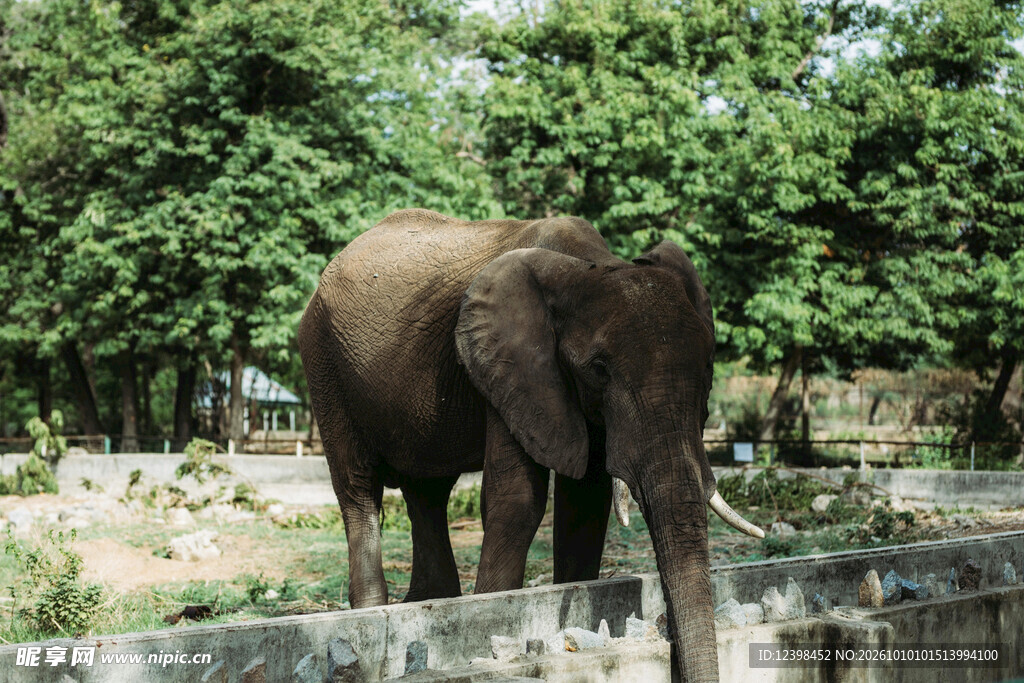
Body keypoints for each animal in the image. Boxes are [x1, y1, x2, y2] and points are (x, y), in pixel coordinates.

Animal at [298, 209, 763, 682]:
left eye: (709, 367)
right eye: (599, 369)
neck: (590, 265)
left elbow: (585, 506)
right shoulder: (512, 367)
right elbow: (518, 500)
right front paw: (491, 616)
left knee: (428, 491)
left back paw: (429, 602)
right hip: (323, 362)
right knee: (358, 488)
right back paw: (371, 610)